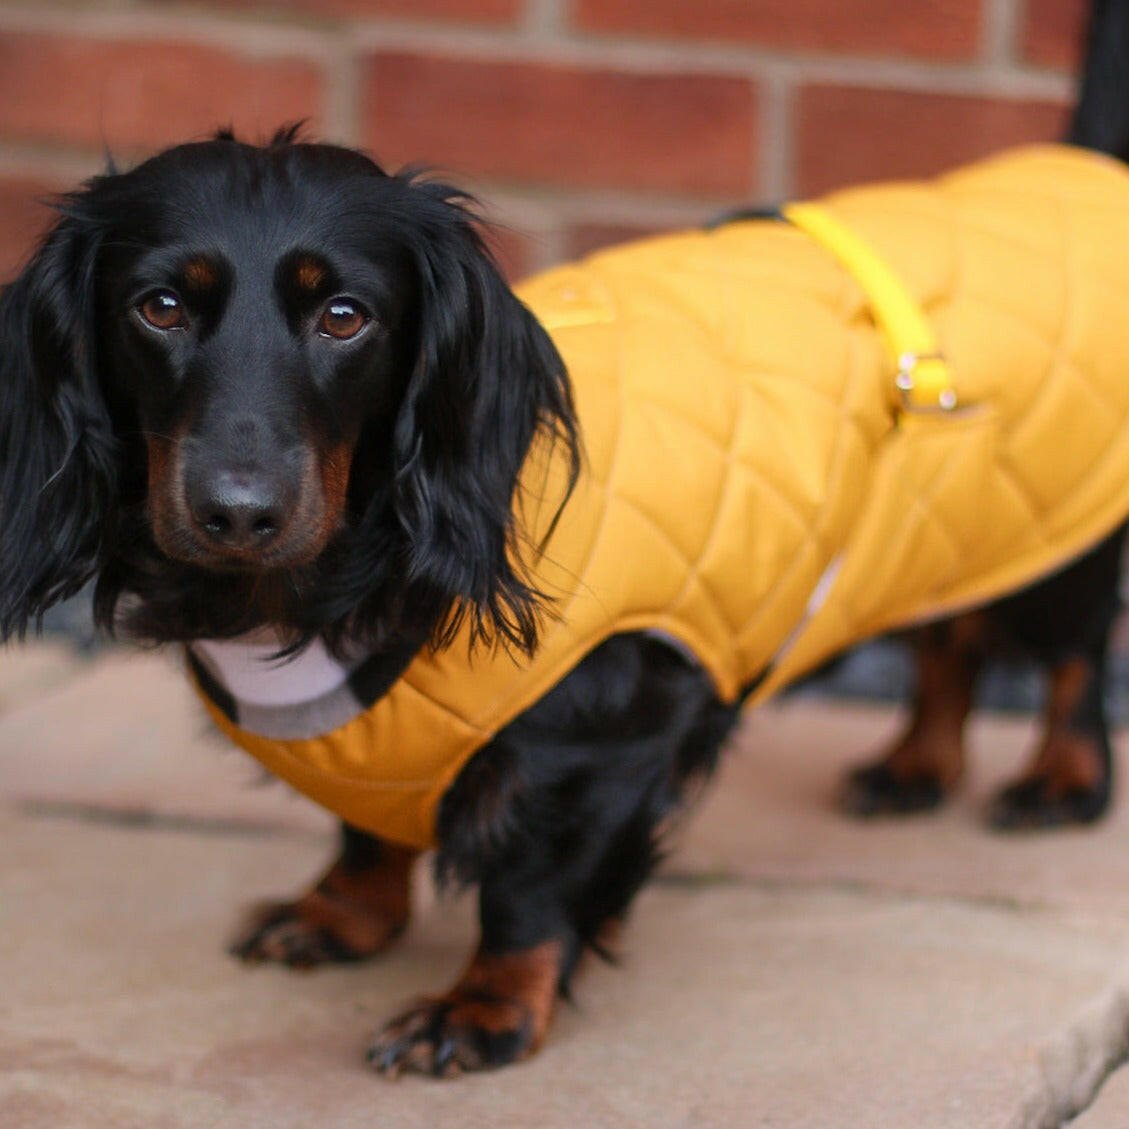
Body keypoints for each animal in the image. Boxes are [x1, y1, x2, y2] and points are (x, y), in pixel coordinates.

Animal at [6, 2, 1129, 1074]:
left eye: (345, 315)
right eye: (158, 306)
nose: (238, 511)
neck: (352, 575)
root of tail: (1083, 171)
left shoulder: (602, 731)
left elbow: (532, 886)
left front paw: (483, 1008)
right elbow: (366, 829)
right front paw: (341, 914)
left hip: (1056, 534)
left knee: (1070, 659)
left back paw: (1059, 782)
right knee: (948, 636)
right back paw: (914, 765)